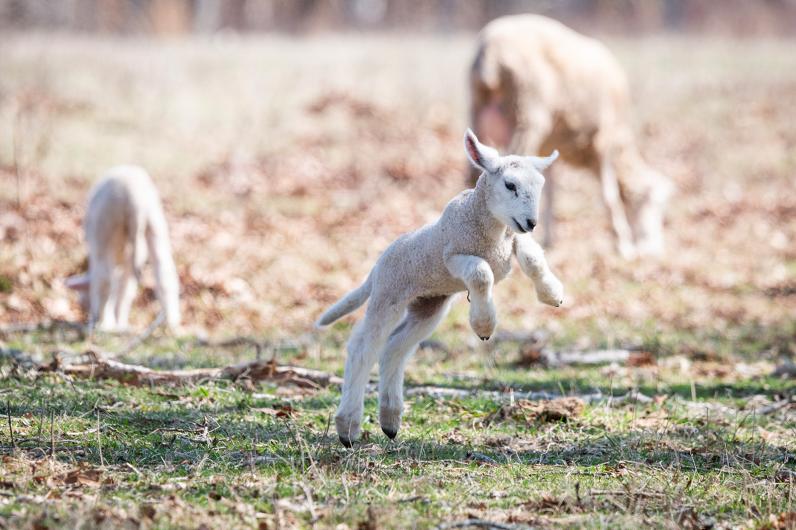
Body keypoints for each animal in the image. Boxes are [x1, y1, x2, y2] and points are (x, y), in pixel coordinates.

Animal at [65, 165, 180, 332]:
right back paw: (172, 325)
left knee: (105, 278)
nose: (86, 315)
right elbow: (125, 290)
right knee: (165, 272)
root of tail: (132, 196)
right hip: (154, 222)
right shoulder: (128, 261)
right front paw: (121, 323)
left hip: (104, 226)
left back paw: (102, 325)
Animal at [316, 129, 564, 446]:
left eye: (540, 186)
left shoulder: (512, 242)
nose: (532, 222)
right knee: (362, 347)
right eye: (510, 185)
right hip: (388, 295)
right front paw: (484, 325)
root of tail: (376, 268)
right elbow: (481, 274)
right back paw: (348, 428)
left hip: (429, 305)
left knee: (394, 347)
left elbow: (534, 259)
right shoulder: (452, 256)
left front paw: (552, 294)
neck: (491, 232)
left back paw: (390, 422)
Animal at [469, 14, 673, 259]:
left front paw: (550, 240)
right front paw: (622, 245)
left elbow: (550, 194)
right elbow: (610, 195)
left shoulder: (549, 148)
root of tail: (491, 52)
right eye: (655, 205)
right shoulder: (604, 142)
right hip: (526, 113)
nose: (655, 251)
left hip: (478, 113)